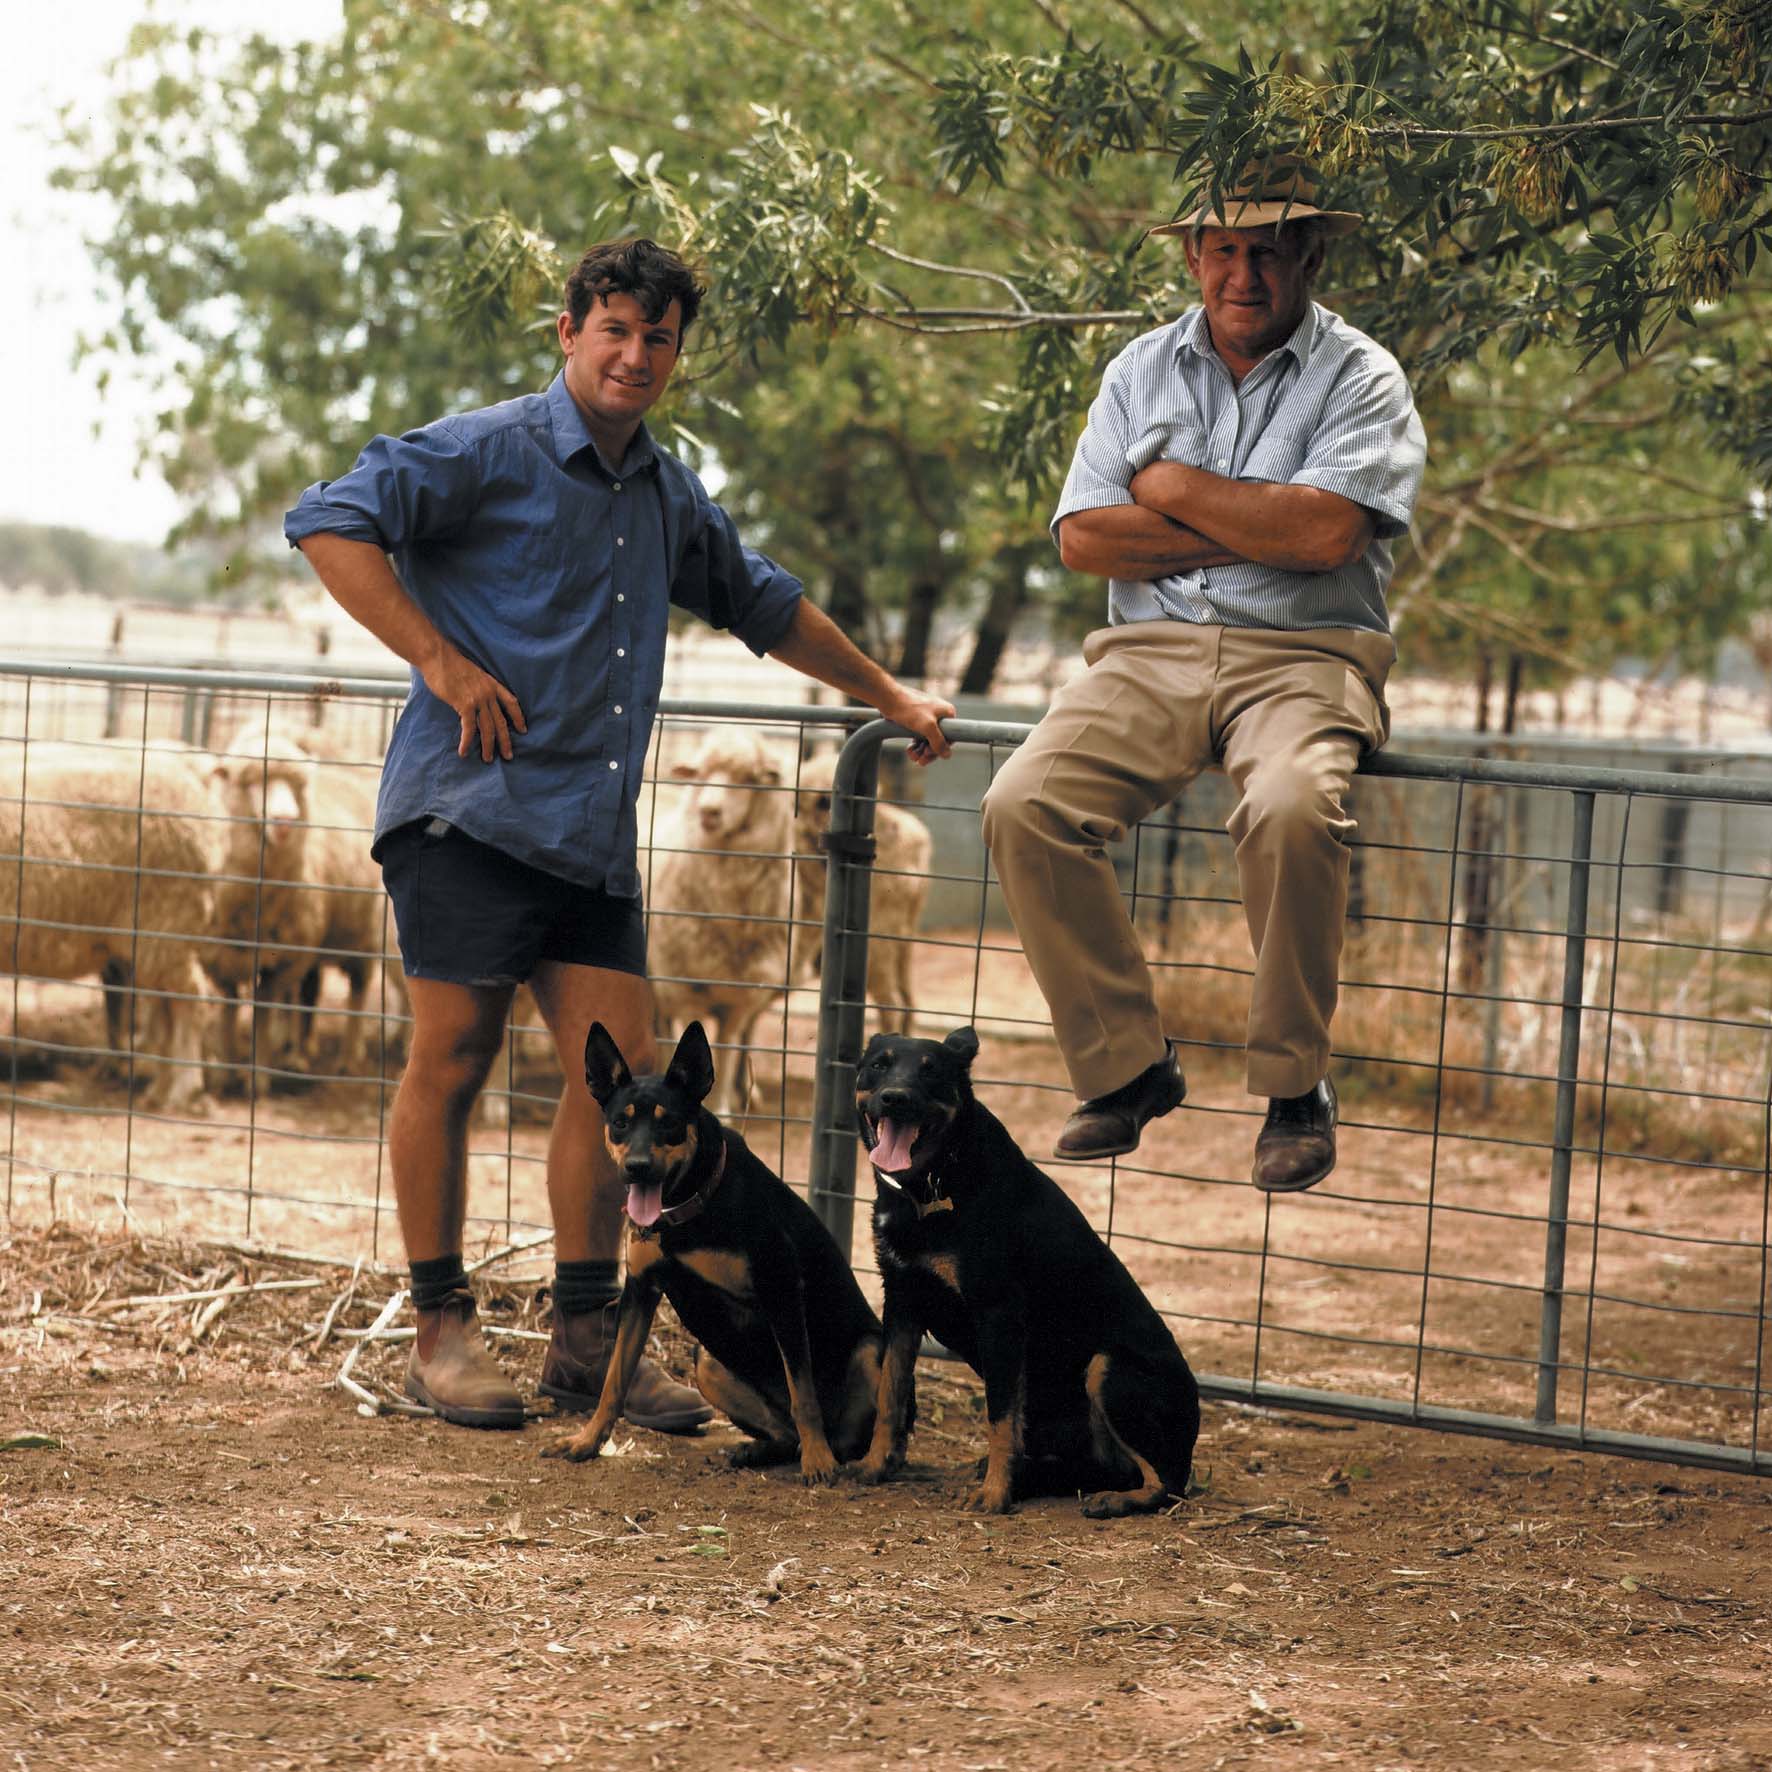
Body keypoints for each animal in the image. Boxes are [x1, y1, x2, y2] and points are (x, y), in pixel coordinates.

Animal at [0, 737, 228, 1105]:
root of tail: (196, 770)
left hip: (166, 920)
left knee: (191, 999)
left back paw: (182, 1090)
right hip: (156, 935)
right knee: (167, 1005)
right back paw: (159, 1088)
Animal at [535, 1020, 875, 1488]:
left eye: (671, 1124)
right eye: (620, 1123)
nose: (637, 1167)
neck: (687, 1208)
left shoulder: (781, 1288)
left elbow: (802, 1390)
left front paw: (818, 1462)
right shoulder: (640, 1290)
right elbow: (613, 1381)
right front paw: (587, 1441)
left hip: (871, 1351)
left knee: (849, 1427)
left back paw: (843, 1454)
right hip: (707, 1363)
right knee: (785, 1430)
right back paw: (759, 1450)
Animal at [645, 726, 797, 1112]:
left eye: (751, 778)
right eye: (700, 773)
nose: (709, 811)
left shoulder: (739, 999)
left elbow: (727, 1053)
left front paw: (724, 1108)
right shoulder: (681, 989)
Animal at [850, 1034, 1197, 1516]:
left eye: (930, 1071)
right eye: (879, 1066)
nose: (895, 1098)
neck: (935, 1181)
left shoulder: (998, 1313)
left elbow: (999, 1415)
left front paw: (994, 1495)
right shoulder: (901, 1298)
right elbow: (890, 1392)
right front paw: (876, 1464)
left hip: (1108, 1367)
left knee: (1166, 1481)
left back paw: (1112, 1500)